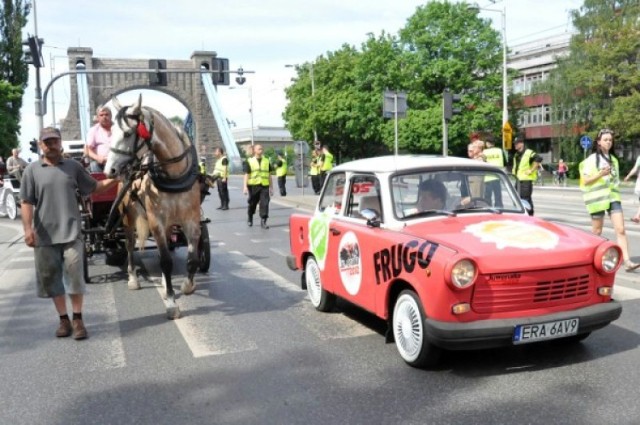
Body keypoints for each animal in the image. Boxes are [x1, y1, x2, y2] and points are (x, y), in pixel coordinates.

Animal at [104, 93, 202, 318]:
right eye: (111, 132)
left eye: (127, 133)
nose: (108, 170)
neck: (174, 175)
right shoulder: (155, 221)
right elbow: (165, 262)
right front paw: (172, 301)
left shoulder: (191, 220)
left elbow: (192, 259)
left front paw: (187, 285)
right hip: (128, 218)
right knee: (130, 245)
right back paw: (133, 277)